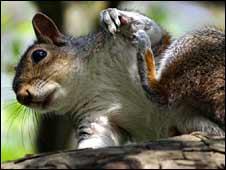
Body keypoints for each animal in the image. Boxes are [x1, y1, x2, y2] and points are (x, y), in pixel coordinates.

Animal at [12, 8, 224, 149]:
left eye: (39, 55)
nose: (21, 96)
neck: (88, 80)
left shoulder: (135, 42)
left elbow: (153, 30)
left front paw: (113, 15)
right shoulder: (96, 118)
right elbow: (95, 141)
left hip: (195, 47)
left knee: (161, 91)